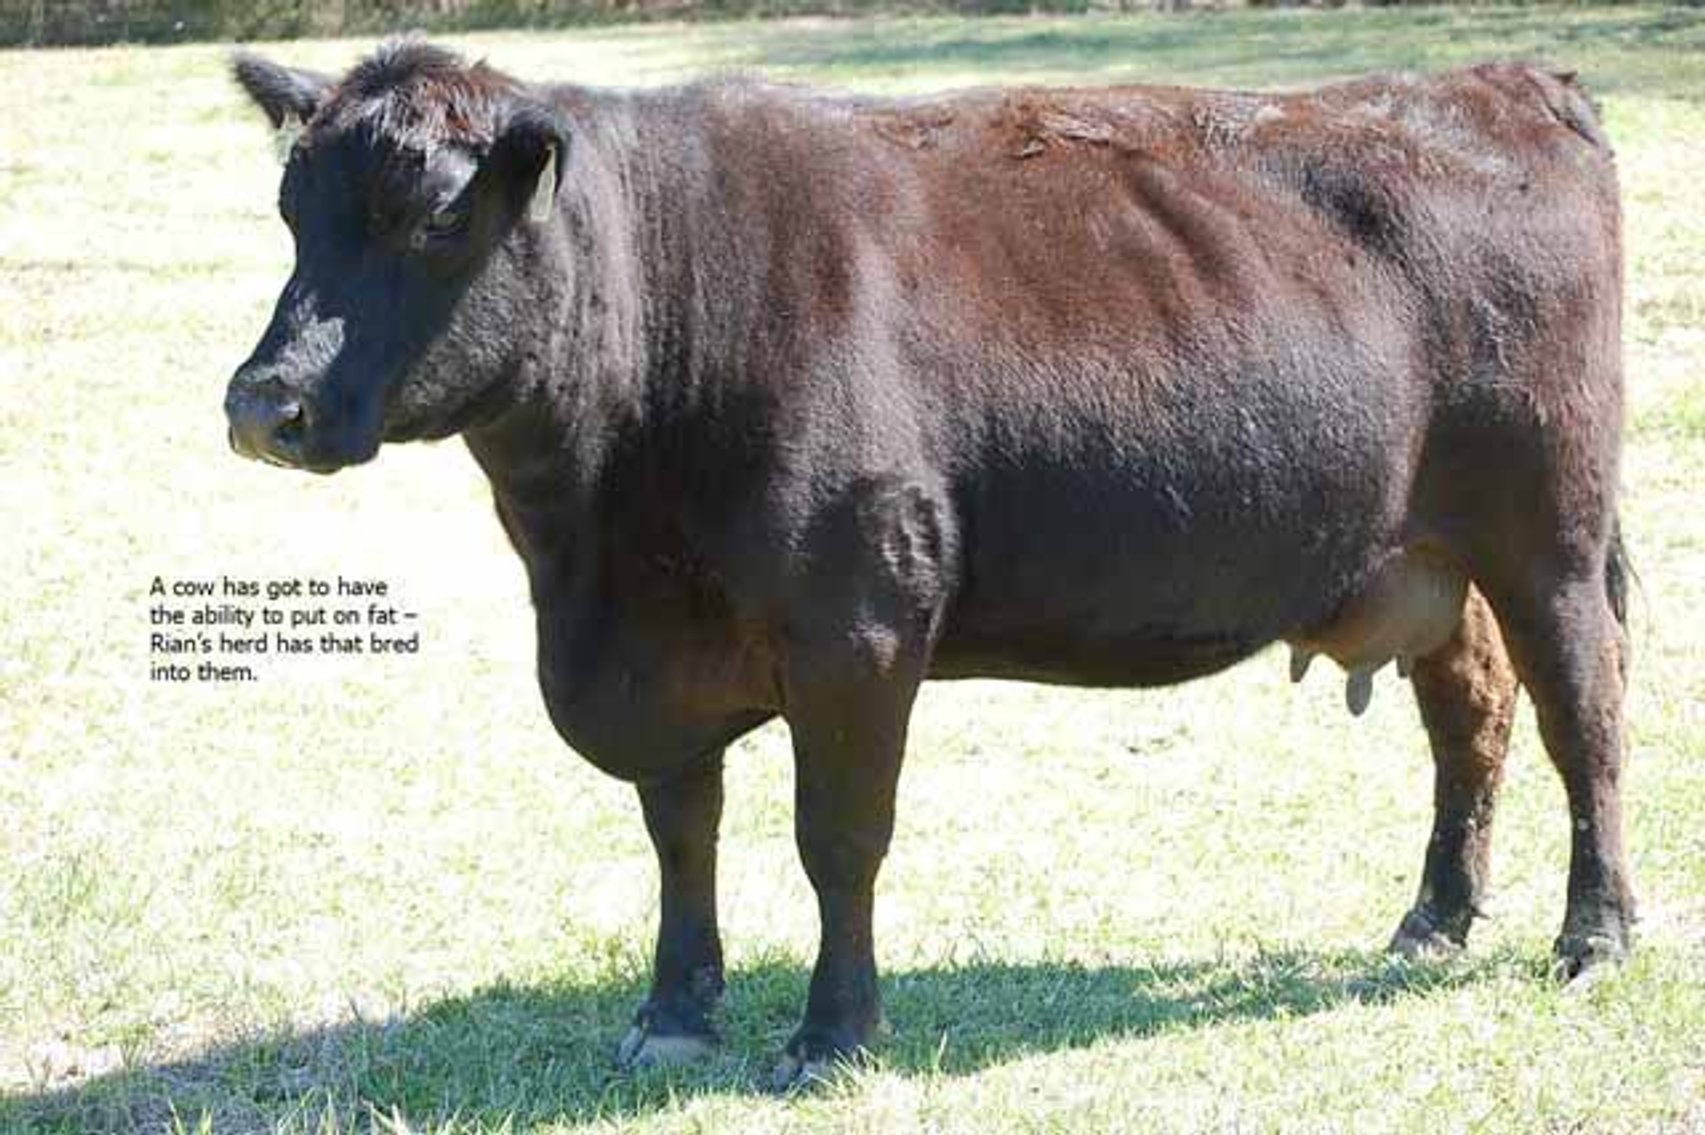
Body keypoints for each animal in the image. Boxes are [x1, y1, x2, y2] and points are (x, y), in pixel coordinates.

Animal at [226, 41, 1632, 1088]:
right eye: (292, 213)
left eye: (438, 218)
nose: (263, 403)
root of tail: (1501, 82)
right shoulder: (658, 658)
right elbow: (681, 832)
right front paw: (673, 1014)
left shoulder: (858, 626)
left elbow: (838, 839)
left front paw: (833, 1035)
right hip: (1429, 554)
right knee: (1471, 719)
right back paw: (1433, 921)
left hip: (1549, 532)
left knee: (1584, 717)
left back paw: (1595, 934)